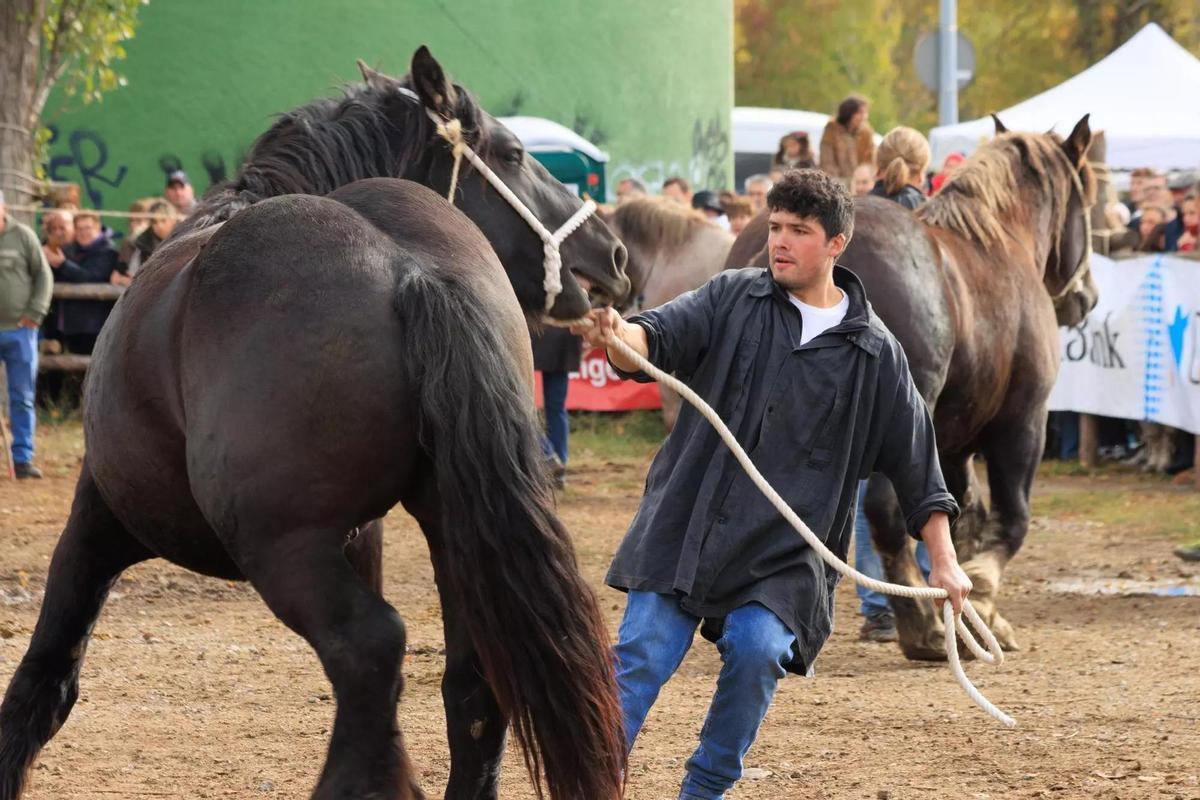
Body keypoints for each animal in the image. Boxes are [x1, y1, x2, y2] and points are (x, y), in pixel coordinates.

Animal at [0, 48, 630, 800]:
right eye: (511, 153)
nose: (614, 253)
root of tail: (410, 268)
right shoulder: (362, 540)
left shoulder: (98, 515)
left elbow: (43, 681)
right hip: (452, 530)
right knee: (471, 684)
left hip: (282, 548)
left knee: (372, 652)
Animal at [725, 116, 1098, 660]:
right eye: (1088, 195)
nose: (1086, 297)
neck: (1000, 241)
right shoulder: (1023, 422)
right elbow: (1010, 518)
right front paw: (982, 603)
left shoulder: (953, 445)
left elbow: (960, 520)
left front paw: (972, 610)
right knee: (884, 513)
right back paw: (921, 627)